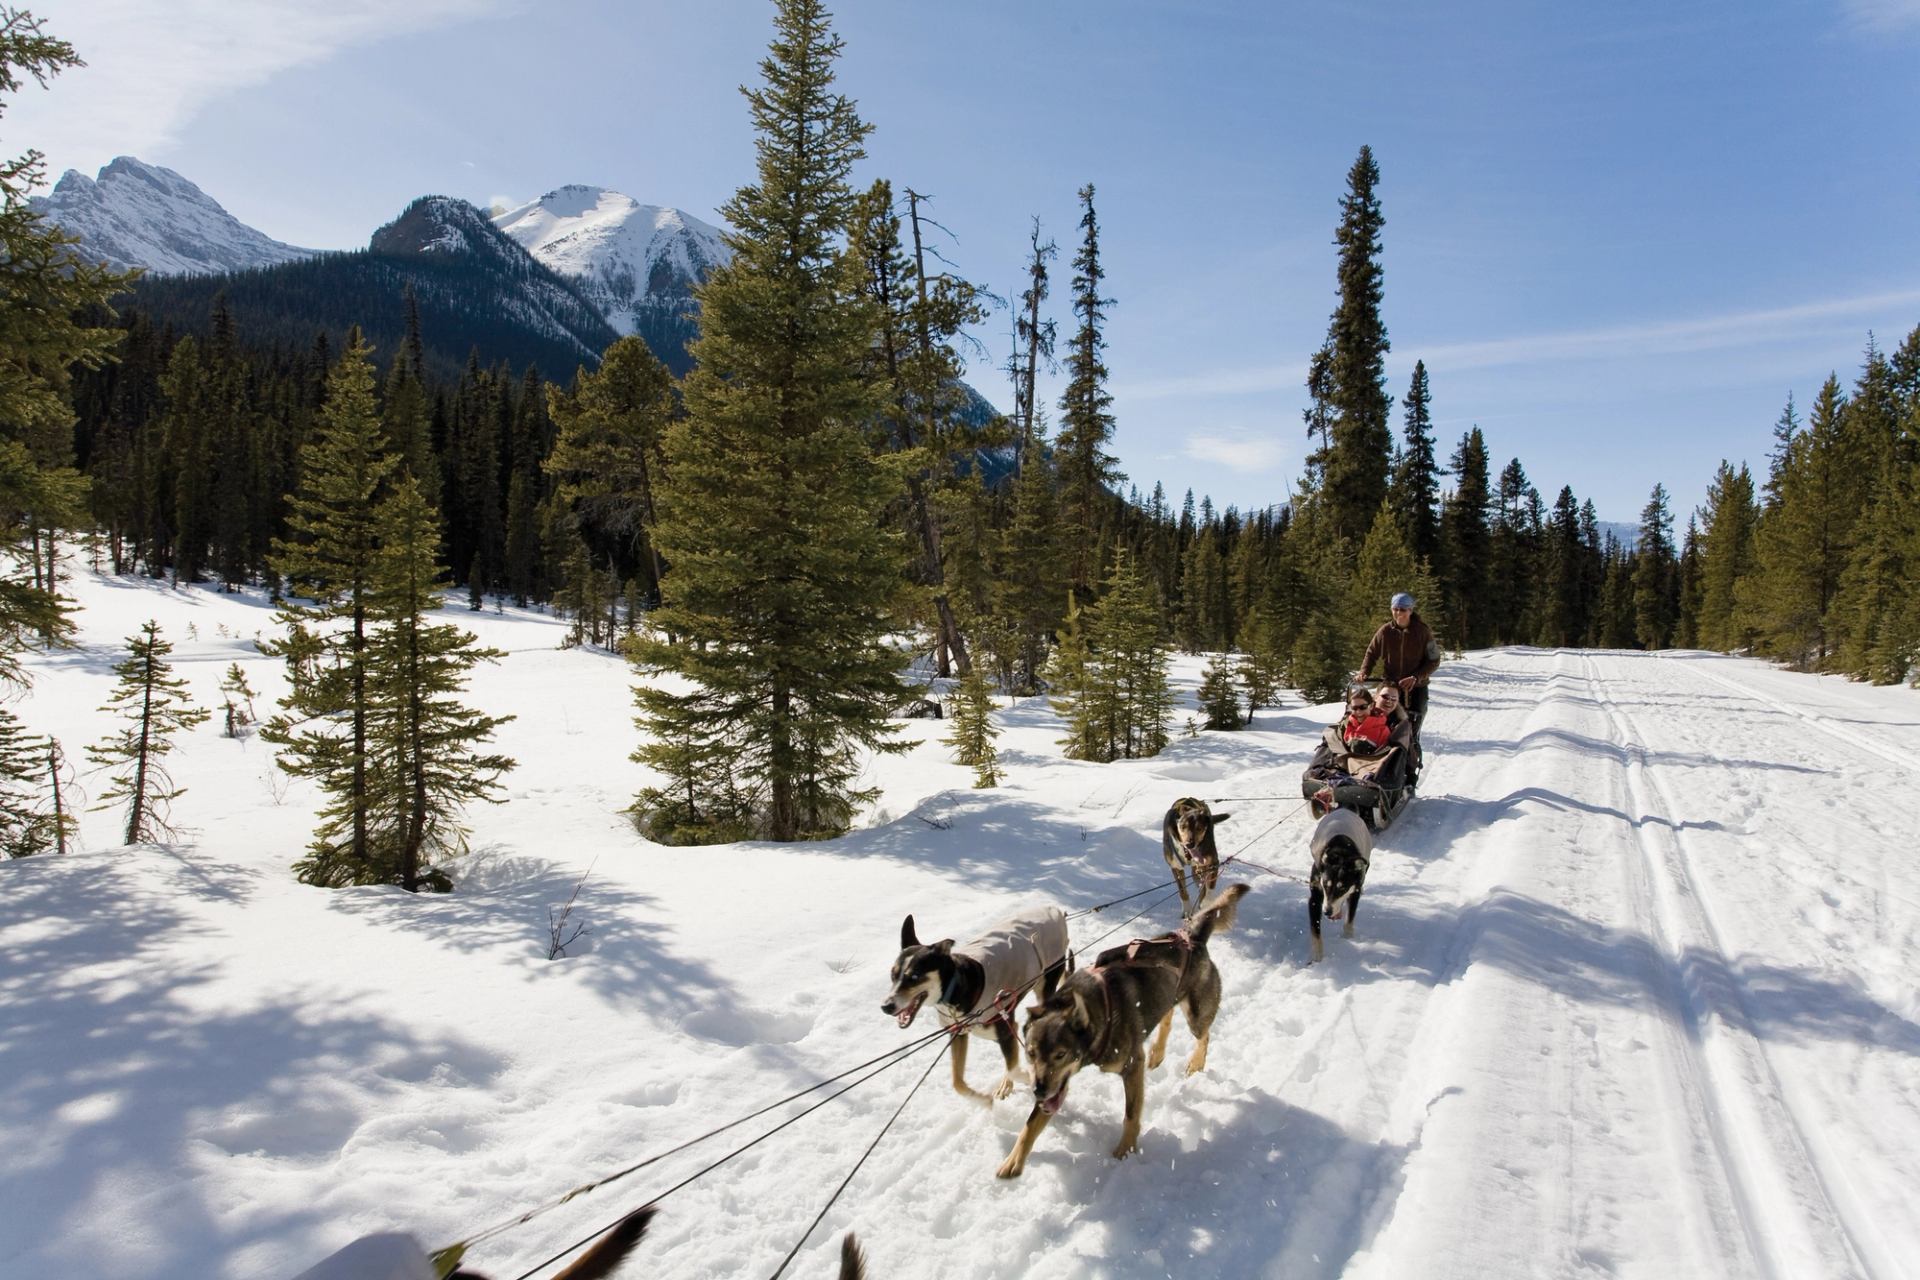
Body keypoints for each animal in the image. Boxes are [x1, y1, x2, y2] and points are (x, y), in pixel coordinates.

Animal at [998, 886, 1251, 1174]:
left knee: (1204, 1035)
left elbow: (1131, 1114)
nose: (1038, 1091)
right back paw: (1157, 1052)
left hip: (1197, 1015)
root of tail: (1191, 938)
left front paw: (1126, 1150)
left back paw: (1195, 1062)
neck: (1100, 1009)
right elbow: (1031, 1124)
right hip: (1168, 996)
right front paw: (1013, 1161)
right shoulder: (1057, 1085)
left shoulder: (1131, 1066)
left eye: (1060, 1055)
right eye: (1030, 1054)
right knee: (1167, 1016)